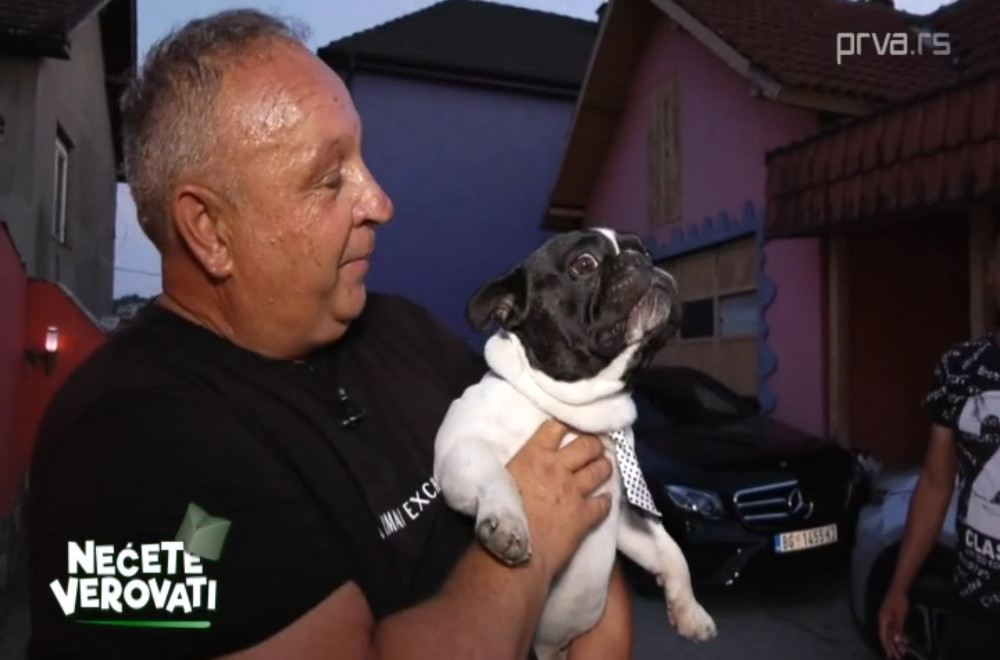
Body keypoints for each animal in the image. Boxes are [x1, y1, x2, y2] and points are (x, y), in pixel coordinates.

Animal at [433, 228, 717, 659]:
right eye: (584, 264)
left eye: (646, 251)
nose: (643, 261)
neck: (576, 412)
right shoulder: (458, 451)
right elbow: (495, 472)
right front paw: (509, 523)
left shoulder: (627, 517)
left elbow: (672, 552)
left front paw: (690, 612)